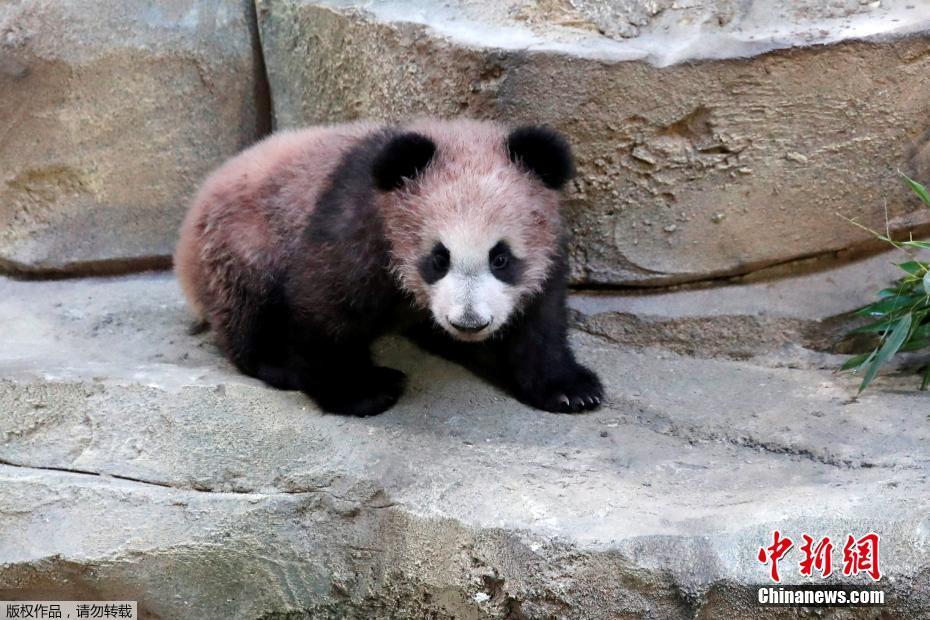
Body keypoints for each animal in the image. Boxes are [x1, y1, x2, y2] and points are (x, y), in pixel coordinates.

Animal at [174, 118, 603, 417]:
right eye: (438, 258)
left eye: (500, 258)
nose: (469, 323)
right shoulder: (357, 225)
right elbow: (325, 308)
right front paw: (361, 392)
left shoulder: (544, 252)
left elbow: (539, 322)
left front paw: (571, 390)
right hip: (243, 240)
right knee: (250, 307)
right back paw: (279, 362)